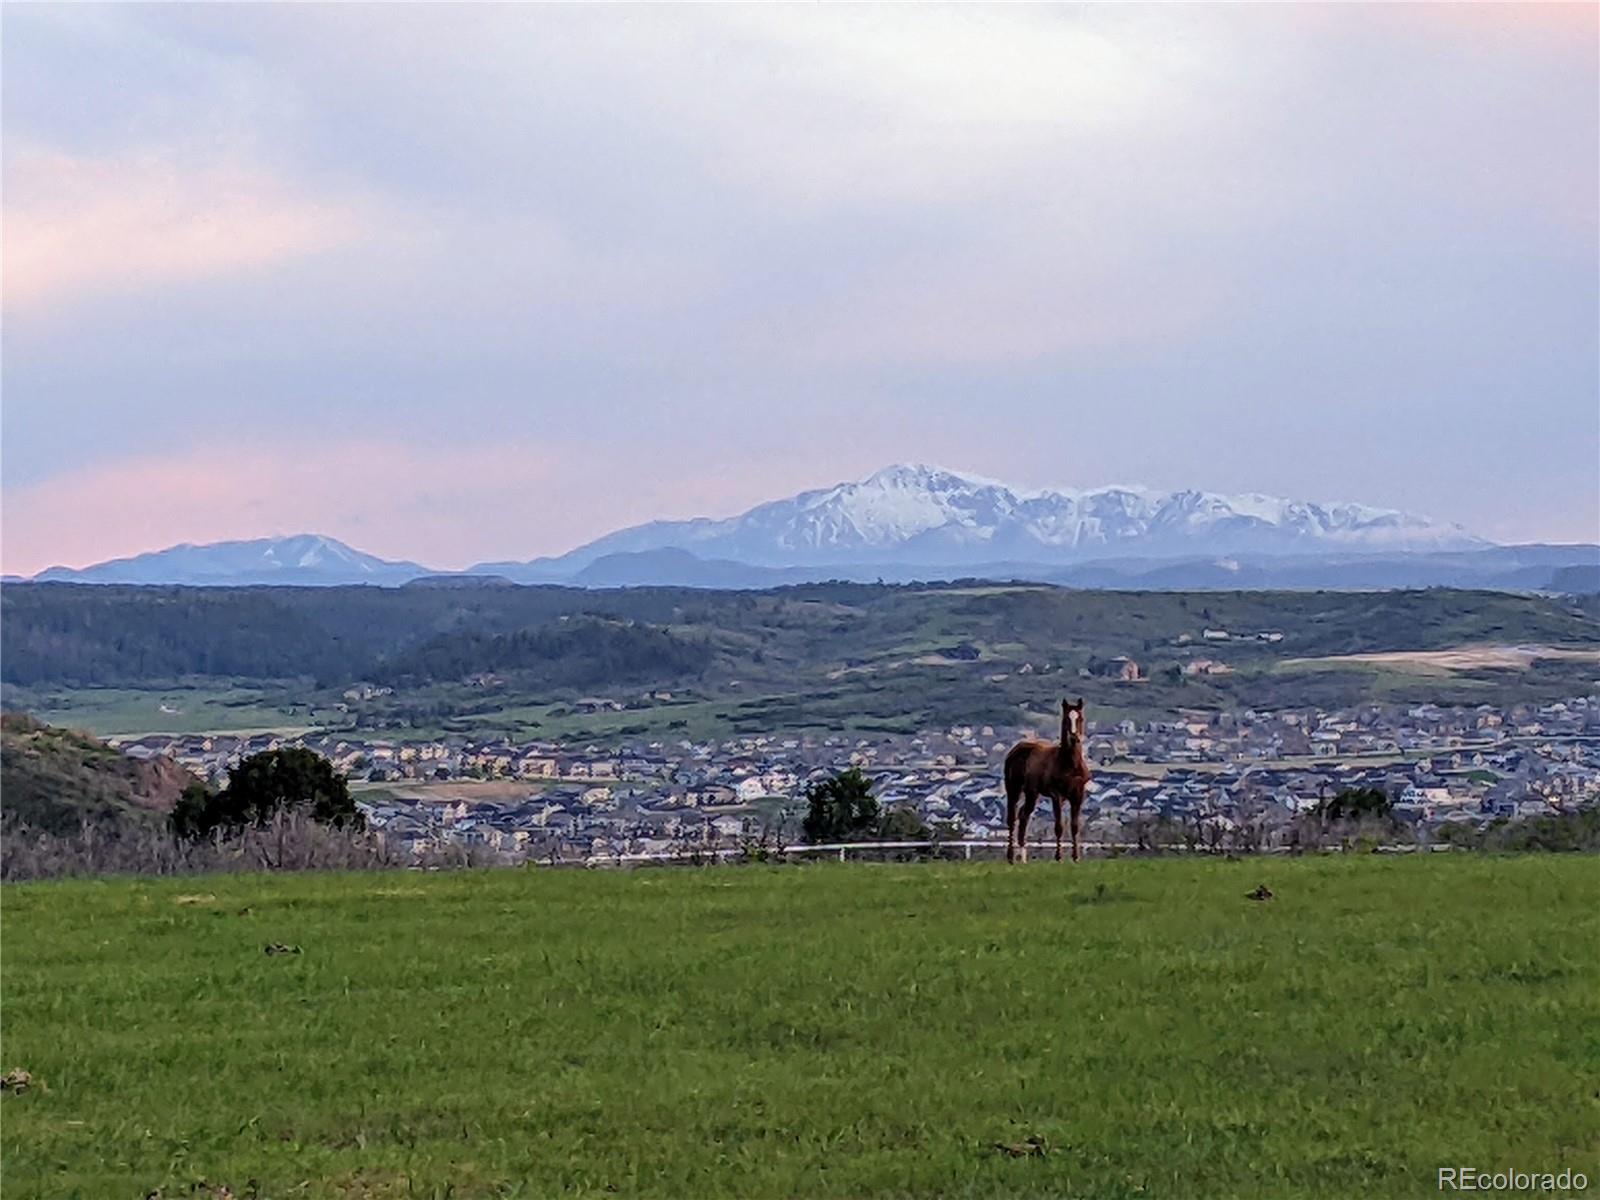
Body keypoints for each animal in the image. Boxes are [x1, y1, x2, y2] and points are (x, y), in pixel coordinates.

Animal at [1004, 704, 1094, 864]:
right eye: (1066, 719)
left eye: (1080, 718)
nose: (1074, 738)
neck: (1069, 764)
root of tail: (1015, 750)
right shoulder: (1056, 796)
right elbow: (1059, 826)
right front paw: (1058, 857)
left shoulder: (1078, 796)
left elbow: (1075, 826)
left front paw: (1075, 857)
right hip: (1014, 788)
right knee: (1012, 818)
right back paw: (1011, 857)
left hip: (1032, 793)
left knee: (1023, 814)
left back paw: (1023, 855)